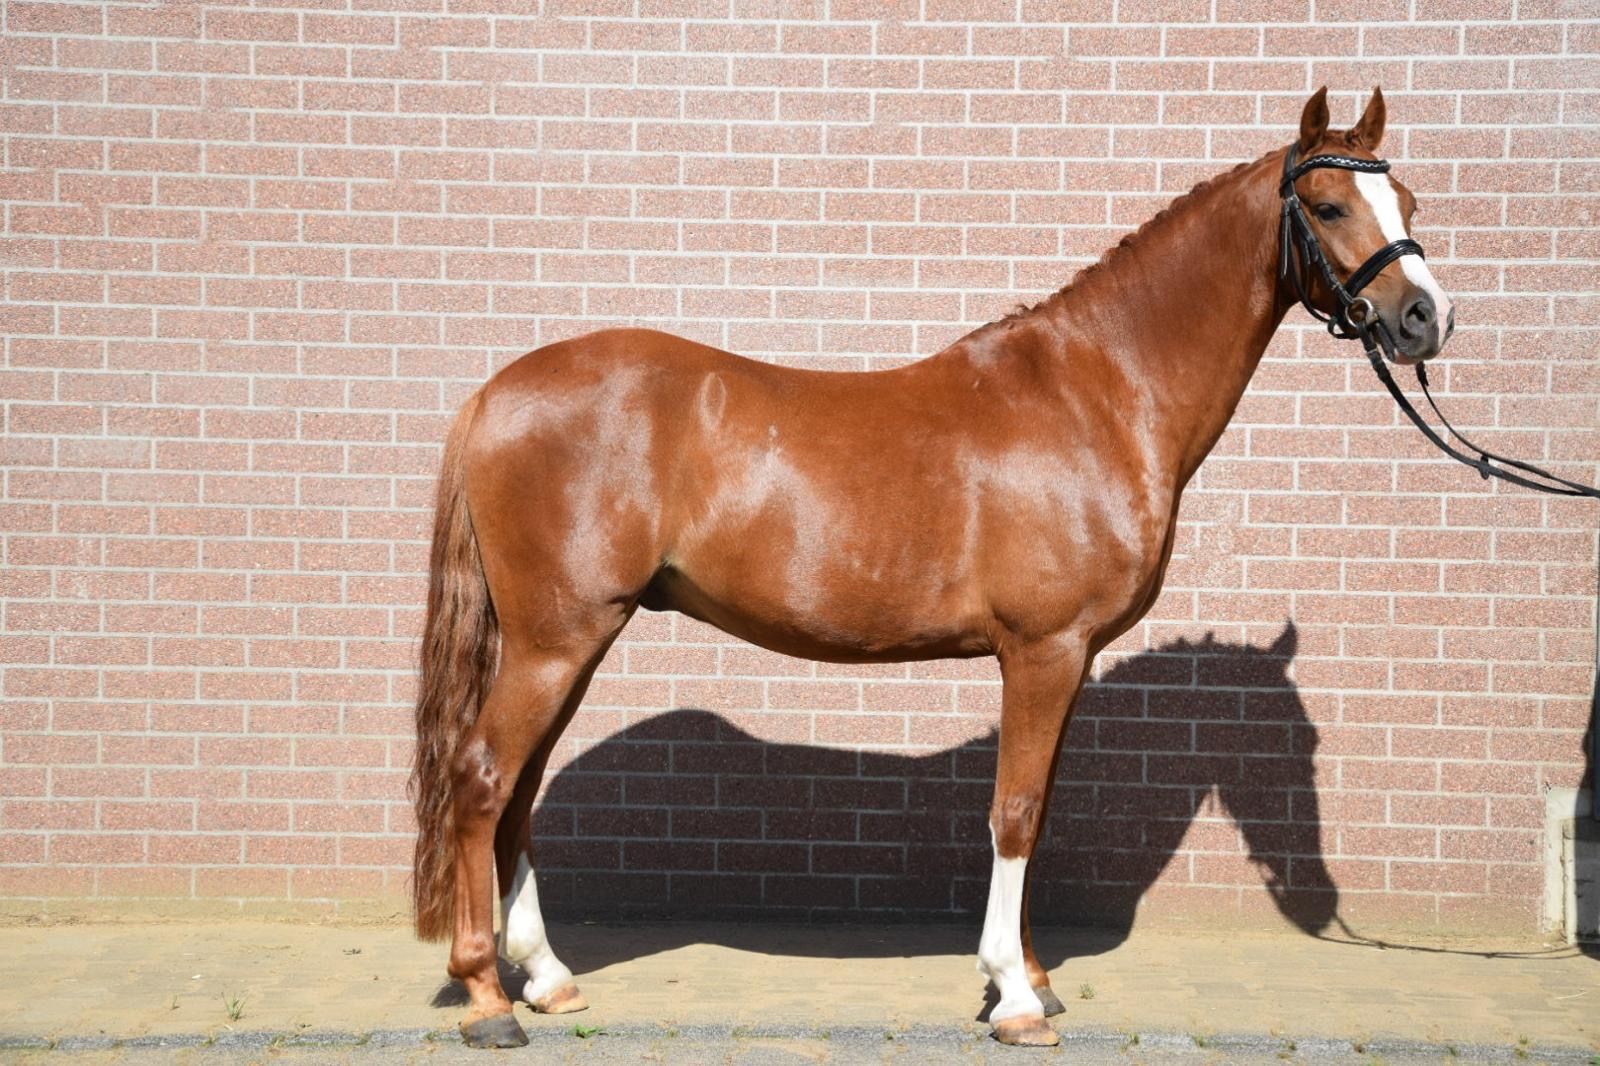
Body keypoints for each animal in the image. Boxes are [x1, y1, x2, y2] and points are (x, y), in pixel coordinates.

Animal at [409, 86, 1454, 1048]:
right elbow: (1016, 812)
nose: (1423, 319)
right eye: (1328, 206)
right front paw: (1017, 999)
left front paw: (1033, 979)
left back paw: (548, 979)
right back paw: (489, 998)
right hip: (556, 639)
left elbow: (1038, 809)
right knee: (482, 778)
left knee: (519, 793)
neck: (1099, 393)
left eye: (1405, 195)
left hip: (571, 640)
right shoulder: (1041, 650)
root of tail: (495, 394)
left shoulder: (1063, 659)